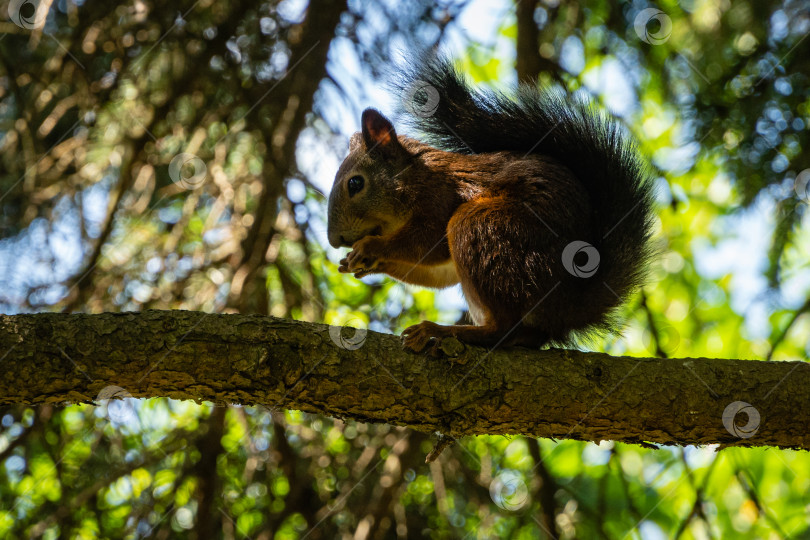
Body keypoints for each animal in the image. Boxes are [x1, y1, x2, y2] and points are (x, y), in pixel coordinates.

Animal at [326, 59, 652, 354]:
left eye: (355, 184)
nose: (334, 240)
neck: (414, 175)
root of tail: (567, 307)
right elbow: (437, 273)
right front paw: (358, 263)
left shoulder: (439, 198)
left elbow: (426, 244)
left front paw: (371, 248)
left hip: (483, 227)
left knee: (503, 329)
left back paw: (442, 331)